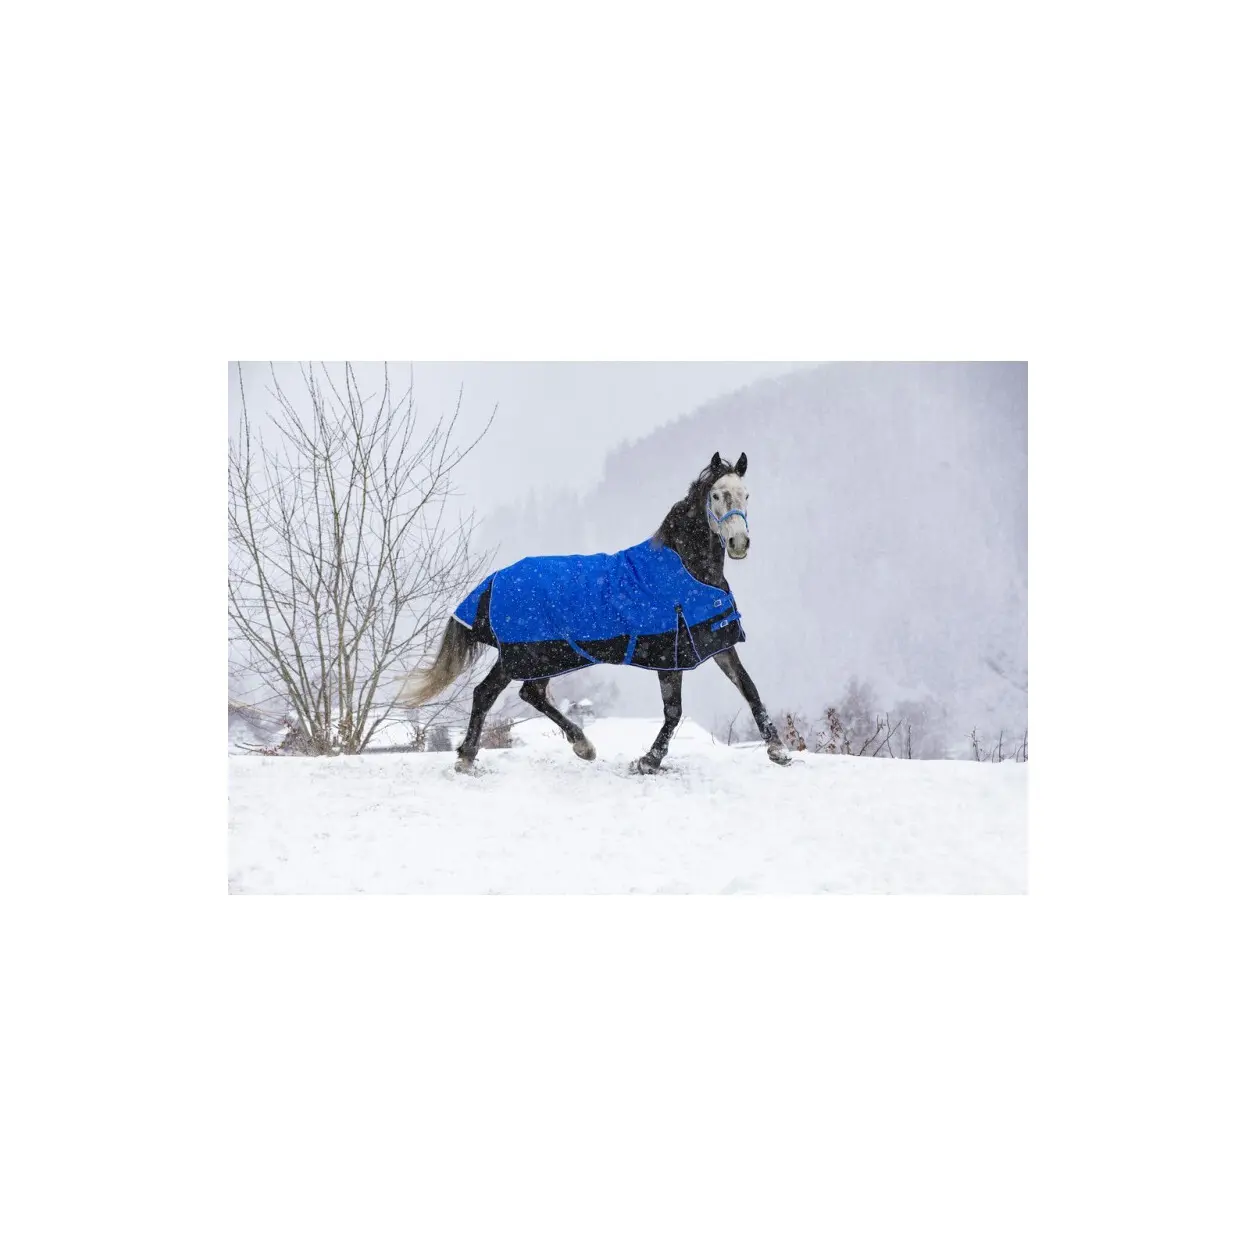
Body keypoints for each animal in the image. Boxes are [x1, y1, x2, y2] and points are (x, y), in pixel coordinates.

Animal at [398, 451, 791, 774]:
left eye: (746, 495)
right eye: (716, 495)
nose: (739, 544)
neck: (686, 569)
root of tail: (494, 579)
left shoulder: (714, 639)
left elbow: (749, 689)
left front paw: (778, 751)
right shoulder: (672, 652)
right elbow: (674, 711)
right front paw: (648, 761)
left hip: (543, 656)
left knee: (522, 694)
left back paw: (575, 746)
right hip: (528, 654)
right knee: (492, 694)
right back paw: (473, 757)